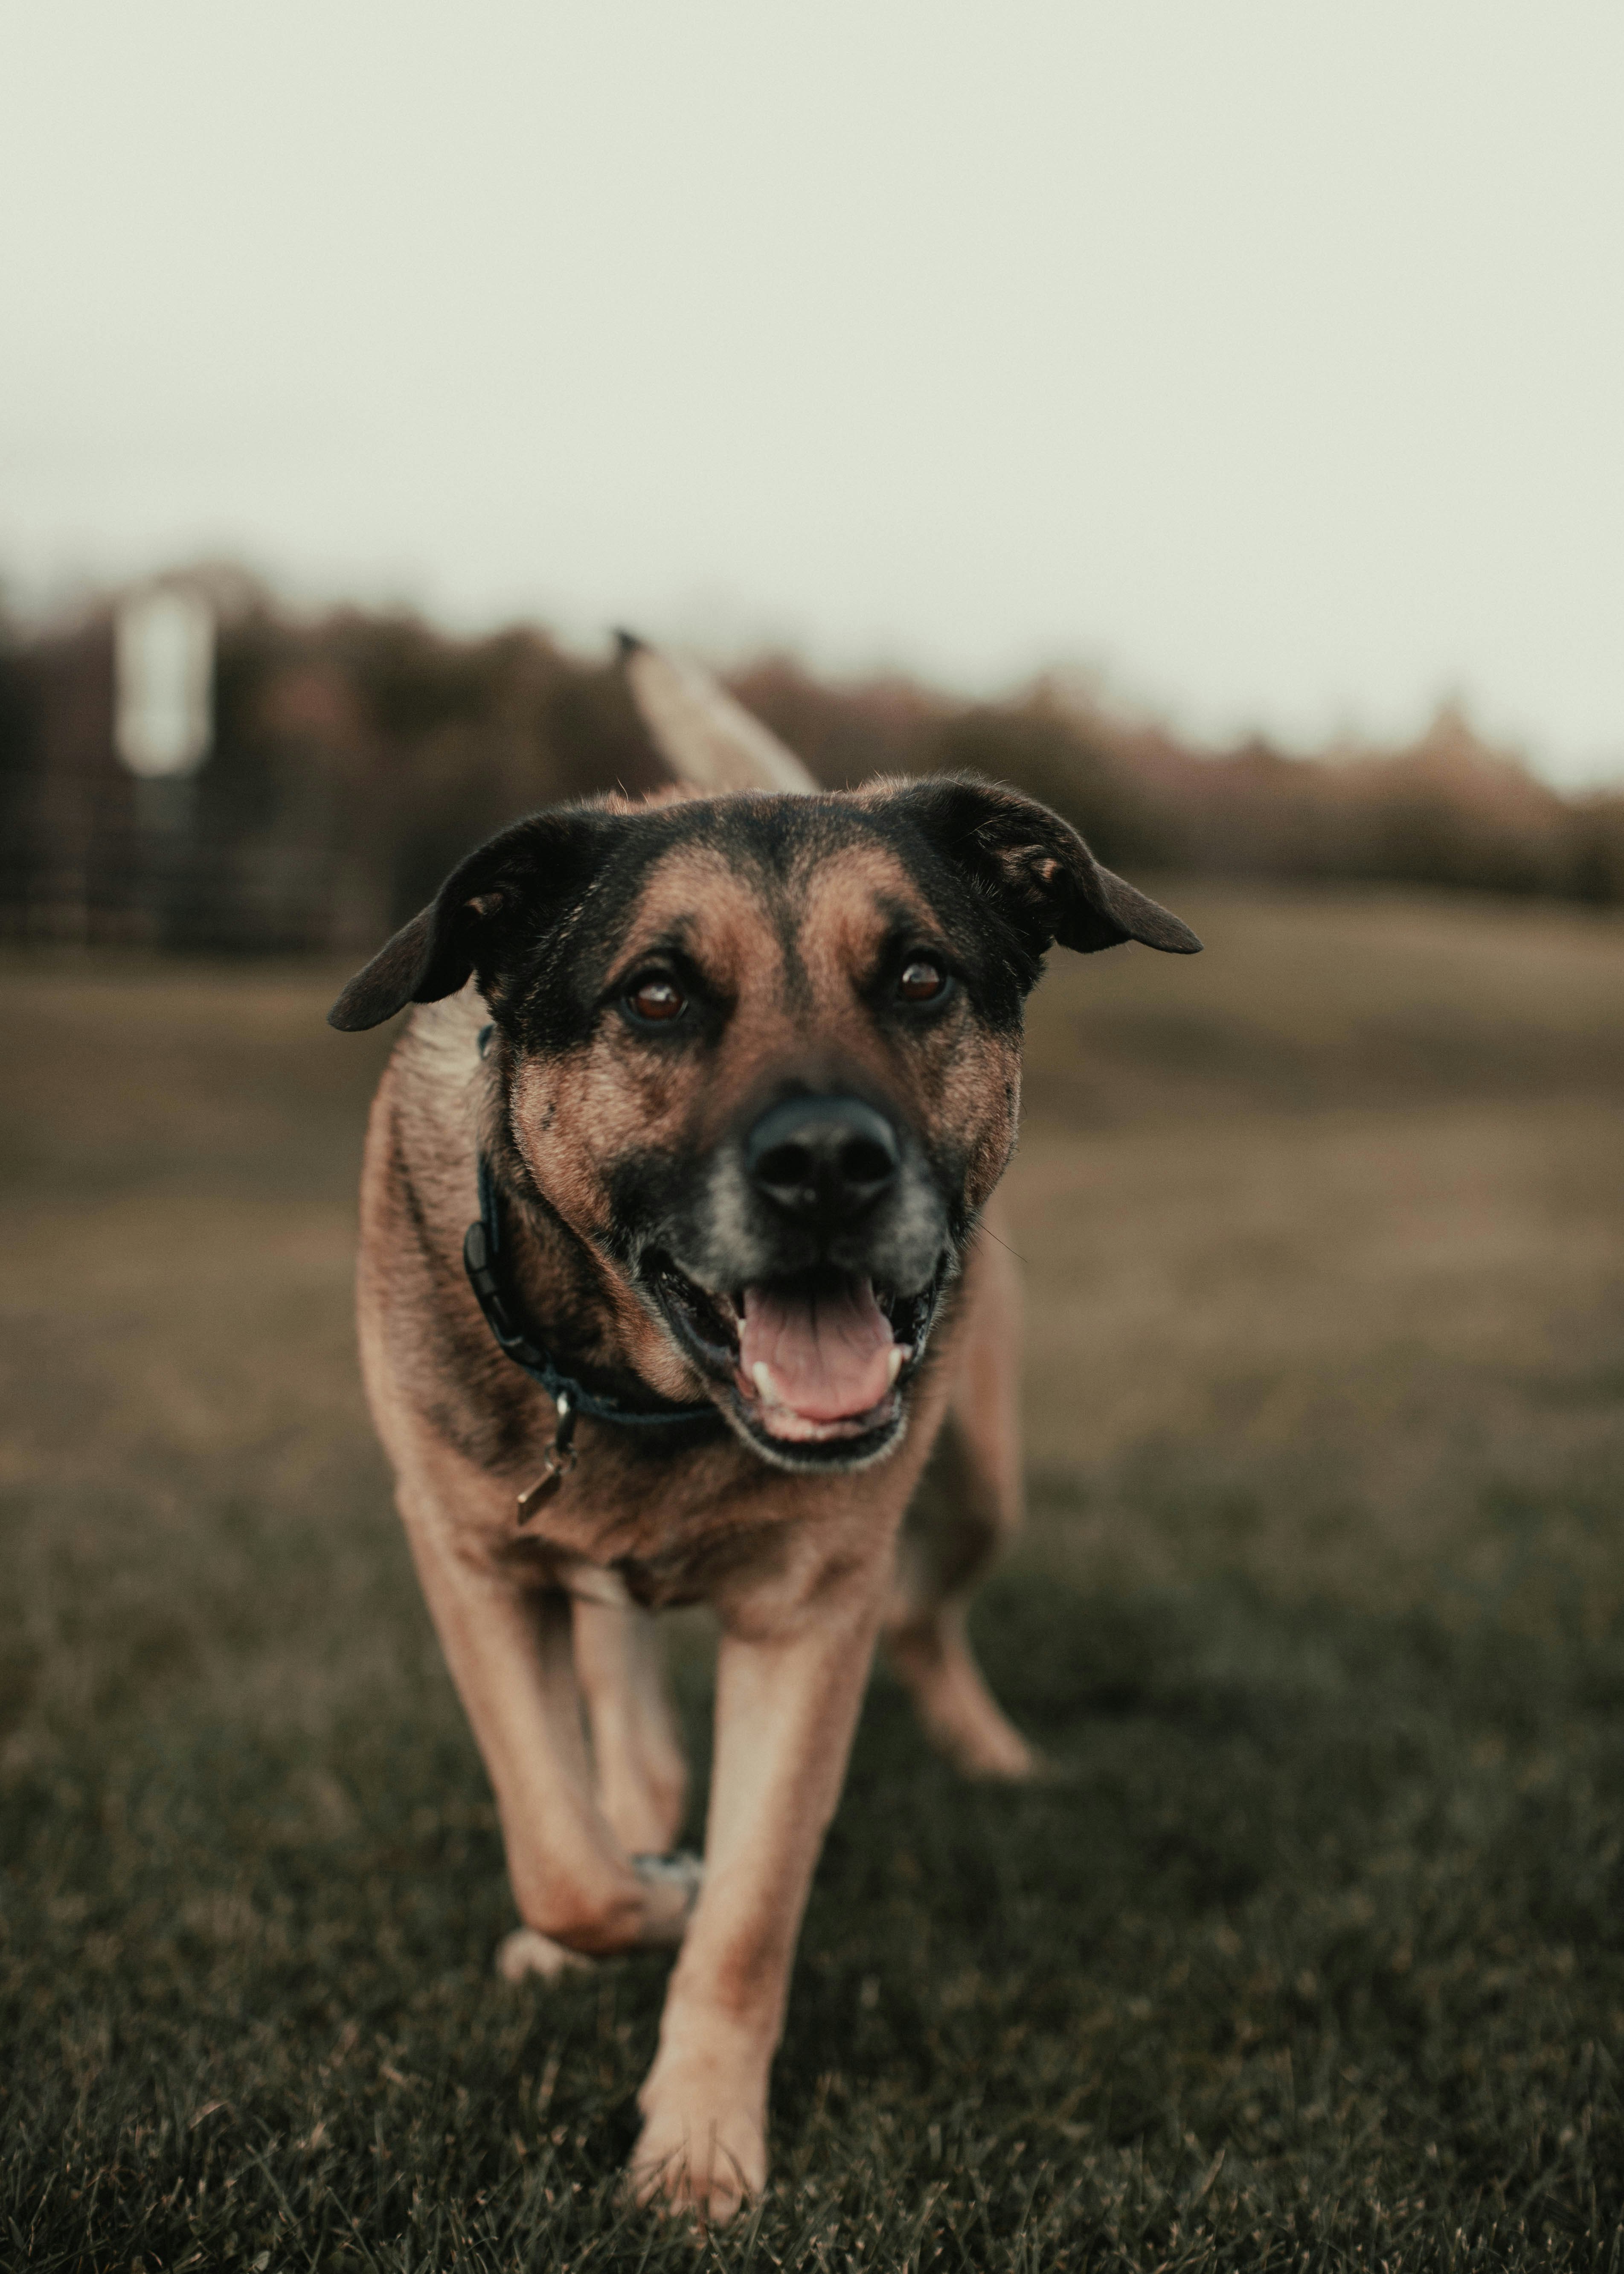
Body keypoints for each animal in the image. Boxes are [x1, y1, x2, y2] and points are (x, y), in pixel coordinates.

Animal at [325, 646, 1191, 2219]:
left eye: (918, 977)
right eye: (657, 995)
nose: (828, 1164)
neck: (657, 1402)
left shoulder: (807, 1613)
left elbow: (747, 1910)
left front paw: (697, 2142)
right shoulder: (470, 1556)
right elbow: (562, 1851)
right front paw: (628, 1899)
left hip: (978, 1482)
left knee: (921, 1618)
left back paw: (984, 1754)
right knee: (618, 1741)